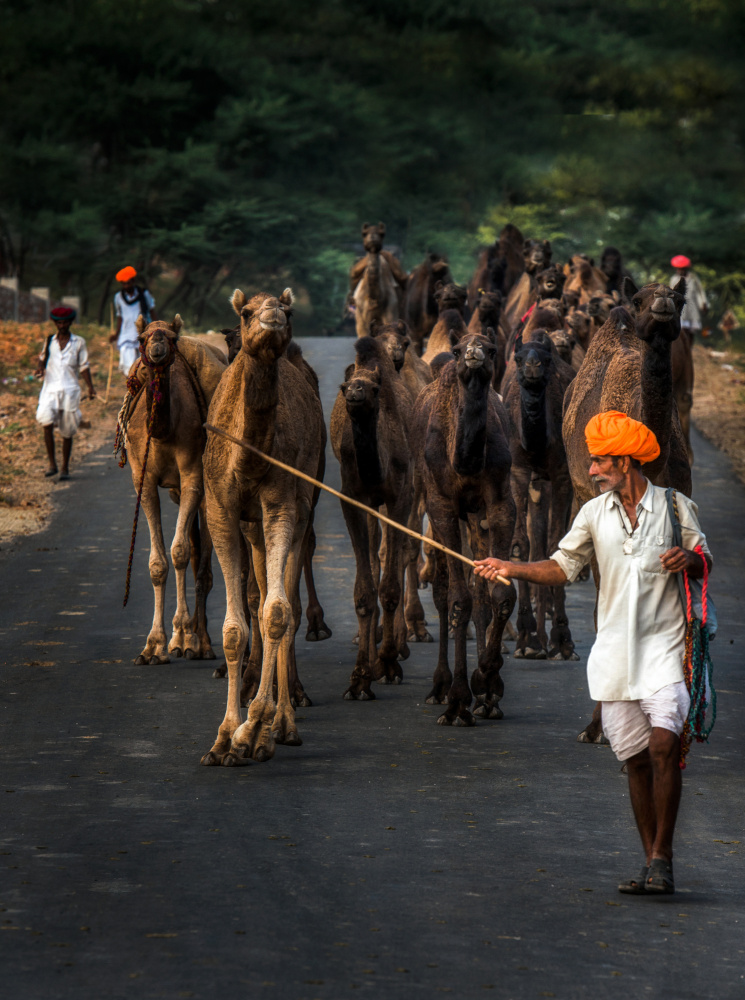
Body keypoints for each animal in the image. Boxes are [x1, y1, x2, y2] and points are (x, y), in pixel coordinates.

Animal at [120, 316, 226, 666]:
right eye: (141, 338)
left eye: (172, 338)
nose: (156, 349)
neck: (163, 433)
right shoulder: (143, 479)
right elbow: (158, 563)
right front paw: (153, 646)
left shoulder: (192, 473)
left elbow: (179, 553)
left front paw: (182, 637)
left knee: (202, 564)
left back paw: (200, 642)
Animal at [200, 287, 325, 766]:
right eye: (246, 312)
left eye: (287, 310)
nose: (273, 315)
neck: (249, 459)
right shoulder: (220, 508)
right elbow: (234, 629)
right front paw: (223, 737)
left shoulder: (281, 505)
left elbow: (277, 612)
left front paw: (253, 731)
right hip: (251, 526)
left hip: (304, 507)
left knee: (285, 600)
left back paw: (284, 722)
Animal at [412, 332, 517, 725]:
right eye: (458, 350)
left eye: (492, 349)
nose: (473, 353)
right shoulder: (442, 505)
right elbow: (458, 599)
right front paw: (458, 700)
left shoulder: (500, 502)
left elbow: (500, 594)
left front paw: (486, 683)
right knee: (444, 592)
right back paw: (440, 687)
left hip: (474, 516)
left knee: (481, 589)